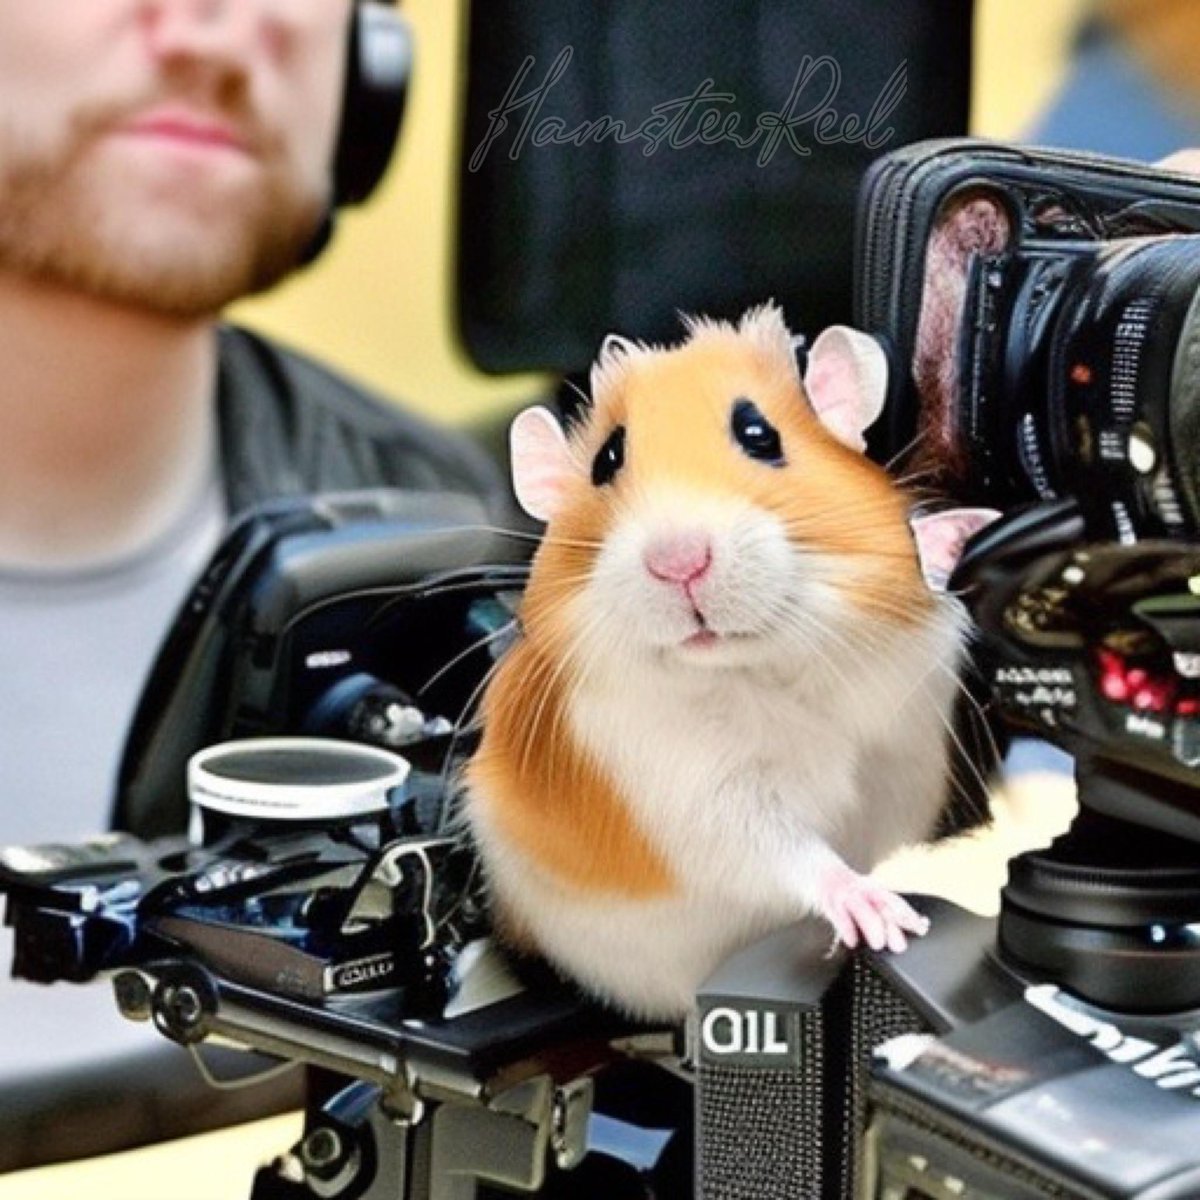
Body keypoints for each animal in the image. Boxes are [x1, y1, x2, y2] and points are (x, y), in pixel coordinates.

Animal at [464, 303, 995, 1020]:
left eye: (758, 434)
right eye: (607, 460)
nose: (678, 561)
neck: (761, 661)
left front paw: (965, 528)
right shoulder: (694, 792)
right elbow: (788, 851)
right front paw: (886, 918)